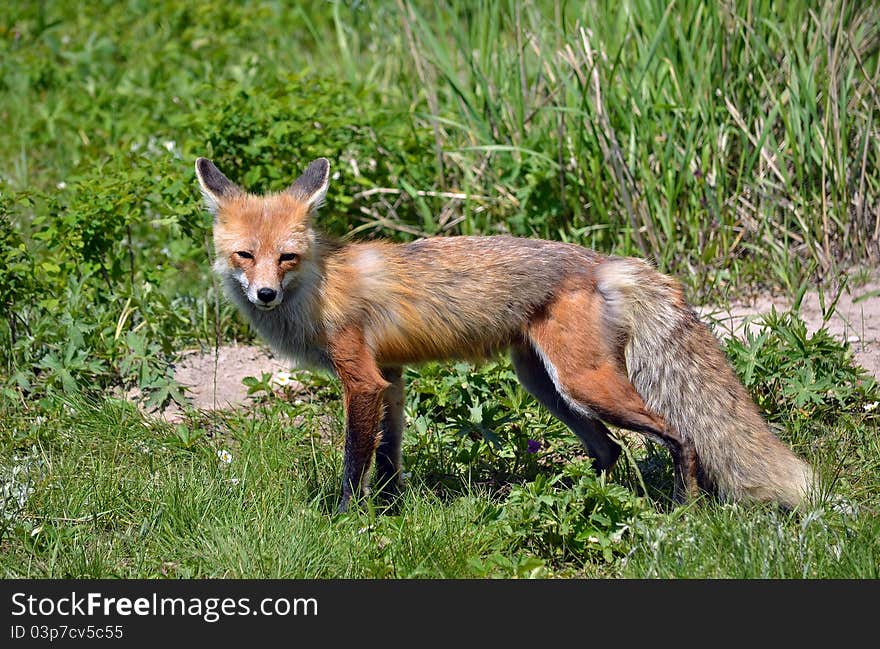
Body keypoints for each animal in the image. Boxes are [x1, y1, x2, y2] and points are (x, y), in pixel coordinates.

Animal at [196, 157, 816, 512]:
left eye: (287, 257)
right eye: (245, 255)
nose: (264, 294)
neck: (319, 286)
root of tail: (603, 262)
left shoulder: (362, 380)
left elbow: (355, 463)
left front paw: (344, 520)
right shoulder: (391, 376)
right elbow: (391, 458)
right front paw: (391, 513)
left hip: (583, 384)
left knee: (679, 436)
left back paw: (685, 508)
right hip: (545, 384)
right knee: (609, 449)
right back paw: (580, 502)